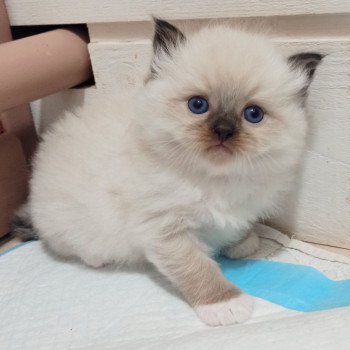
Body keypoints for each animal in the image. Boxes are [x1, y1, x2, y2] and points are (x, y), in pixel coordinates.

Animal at [12, 18, 322, 326]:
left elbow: (237, 228)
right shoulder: (166, 230)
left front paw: (242, 243)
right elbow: (198, 270)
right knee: (65, 244)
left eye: (253, 114)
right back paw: (95, 258)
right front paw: (226, 305)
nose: (223, 131)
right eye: (198, 105)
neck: (214, 180)